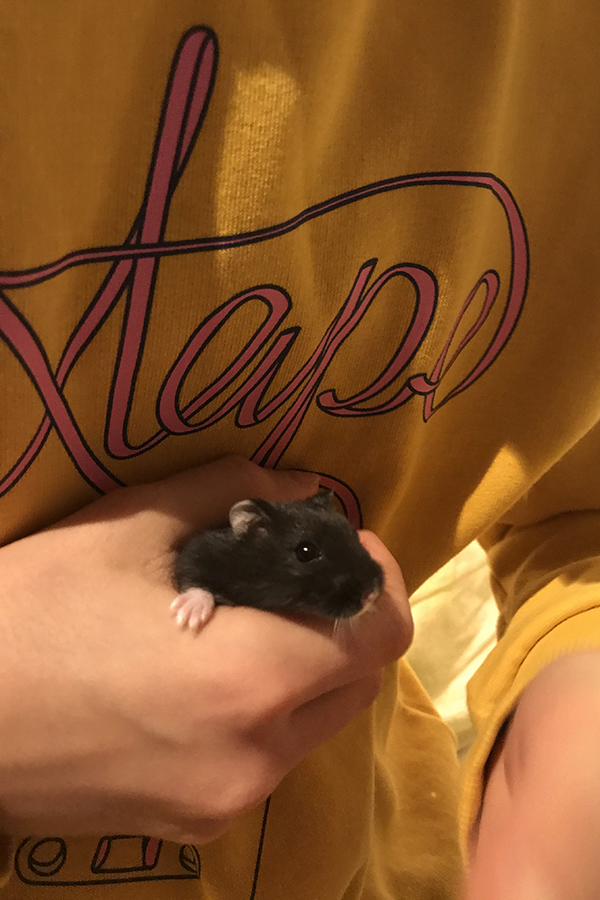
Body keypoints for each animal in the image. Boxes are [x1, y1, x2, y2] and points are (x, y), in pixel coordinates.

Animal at [171, 491, 384, 632]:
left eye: (354, 535)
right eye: (305, 551)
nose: (371, 595)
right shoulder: (196, 551)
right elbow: (191, 574)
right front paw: (187, 618)